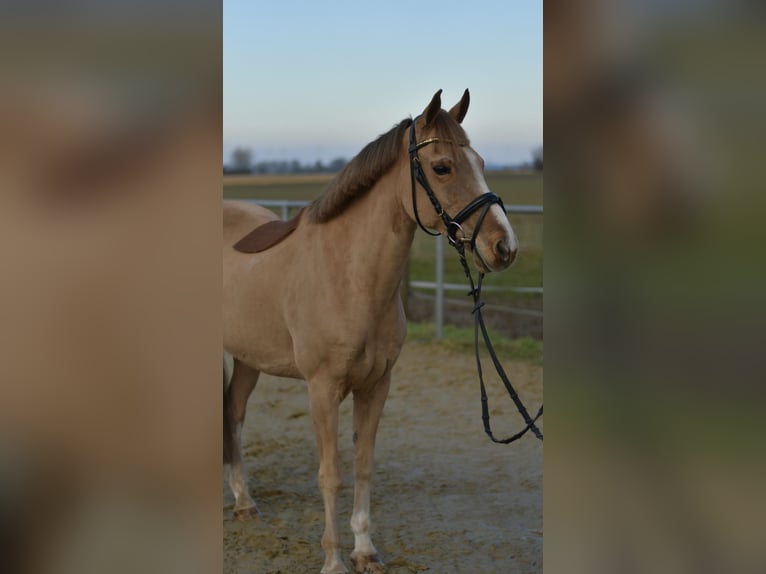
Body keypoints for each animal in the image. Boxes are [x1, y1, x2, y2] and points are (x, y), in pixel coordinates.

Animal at [222, 89, 518, 574]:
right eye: (442, 167)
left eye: (479, 161)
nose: (504, 246)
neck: (349, 275)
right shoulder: (322, 389)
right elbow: (330, 475)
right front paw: (333, 561)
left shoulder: (376, 386)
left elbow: (362, 466)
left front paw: (364, 550)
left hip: (249, 358)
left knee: (234, 412)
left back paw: (244, 503)